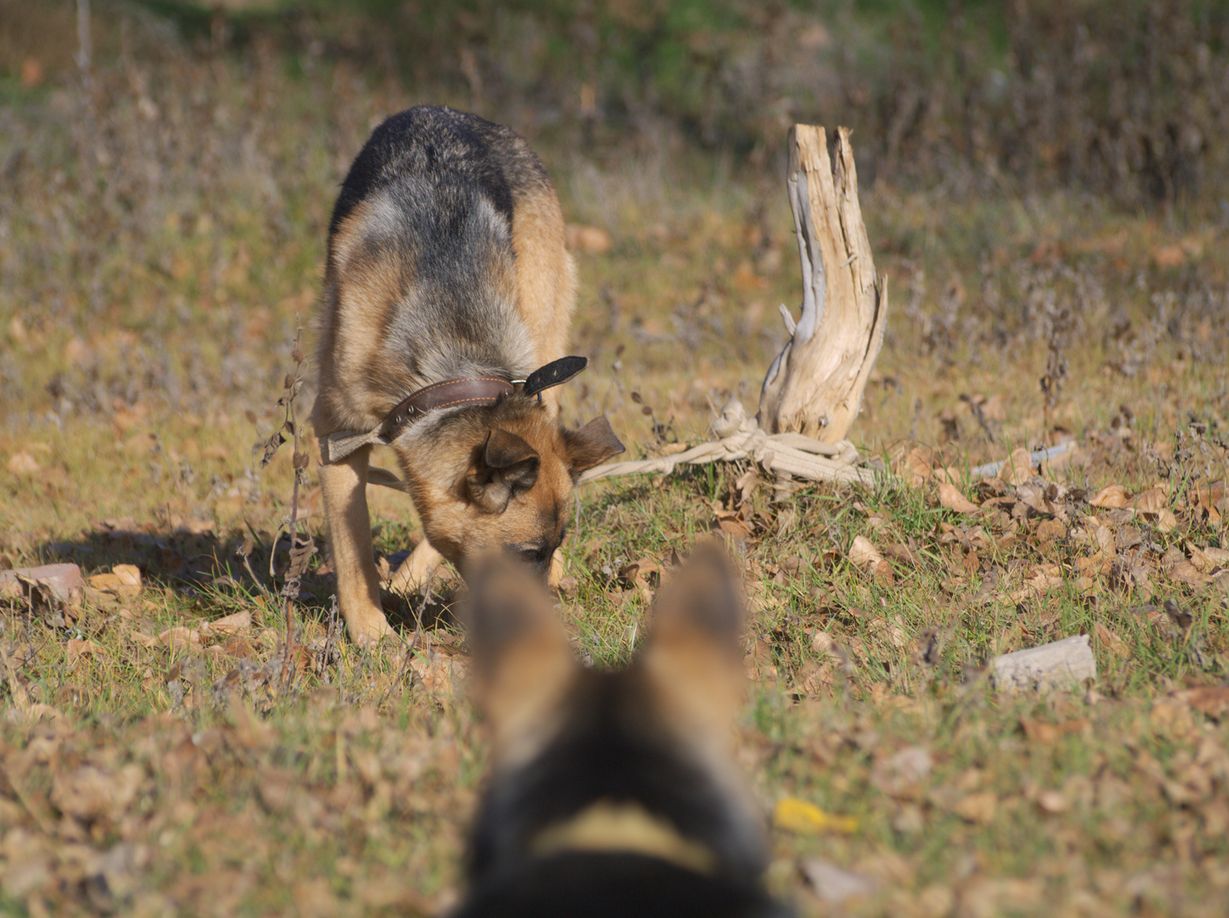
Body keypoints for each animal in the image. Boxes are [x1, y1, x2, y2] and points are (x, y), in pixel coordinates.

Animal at [312, 107, 624, 643]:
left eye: (547, 548)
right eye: (527, 554)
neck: (453, 363)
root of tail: (449, 112)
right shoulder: (337, 433)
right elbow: (353, 549)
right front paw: (374, 636)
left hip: (544, 352)